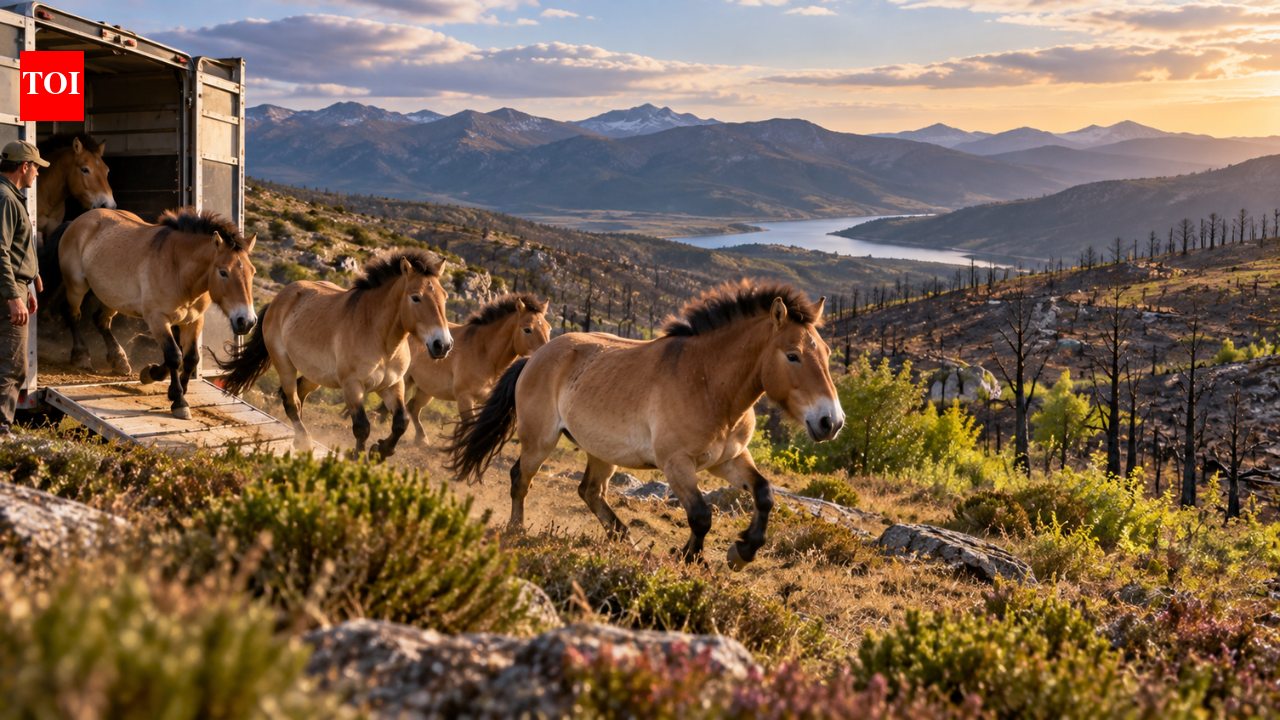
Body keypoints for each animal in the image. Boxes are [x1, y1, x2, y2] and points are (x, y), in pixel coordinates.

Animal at [58, 207, 258, 419]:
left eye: (252, 272)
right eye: (223, 272)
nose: (246, 321)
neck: (178, 268)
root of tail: (81, 218)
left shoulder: (193, 321)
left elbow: (190, 358)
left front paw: (157, 377)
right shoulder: (157, 319)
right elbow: (174, 356)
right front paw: (178, 400)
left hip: (112, 298)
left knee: (101, 321)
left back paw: (119, 360)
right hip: (77, 286)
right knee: (73, 316)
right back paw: (81, 356)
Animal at [218, 249, 453, 458]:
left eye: (444, 297)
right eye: (416, 297)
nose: (443, 345)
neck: (380, 338)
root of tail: (282, 296)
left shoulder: (392, 384)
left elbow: (401, 422)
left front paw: (380, 451)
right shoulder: (352, 386)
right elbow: (362, 427)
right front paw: (360, 458)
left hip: (315, 376)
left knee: (298, 394)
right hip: (284, 364)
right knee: (291, 401)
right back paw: (304, 440)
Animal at [400, 292, 549, 443]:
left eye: (548, 328)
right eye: (527, 329)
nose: (544, 357)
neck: (485, 353)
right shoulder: (465, 398)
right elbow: (469, 426)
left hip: (426, 388)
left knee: (413, 407)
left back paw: (421, 439)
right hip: (406, 380)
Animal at [447, 280, 845, 569]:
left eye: (826, 353)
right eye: (793, 355)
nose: (832, 422)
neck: (708, 382)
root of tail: (533, 358)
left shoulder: (728, 460)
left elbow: (763, 494)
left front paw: (741, 553)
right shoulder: (676, 464)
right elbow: (701, 515)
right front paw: (691, 560)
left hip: (600, 451)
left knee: (590, 491)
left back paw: (625, 540)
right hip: (539, 442)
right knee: (521, 478)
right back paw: (517, 530)